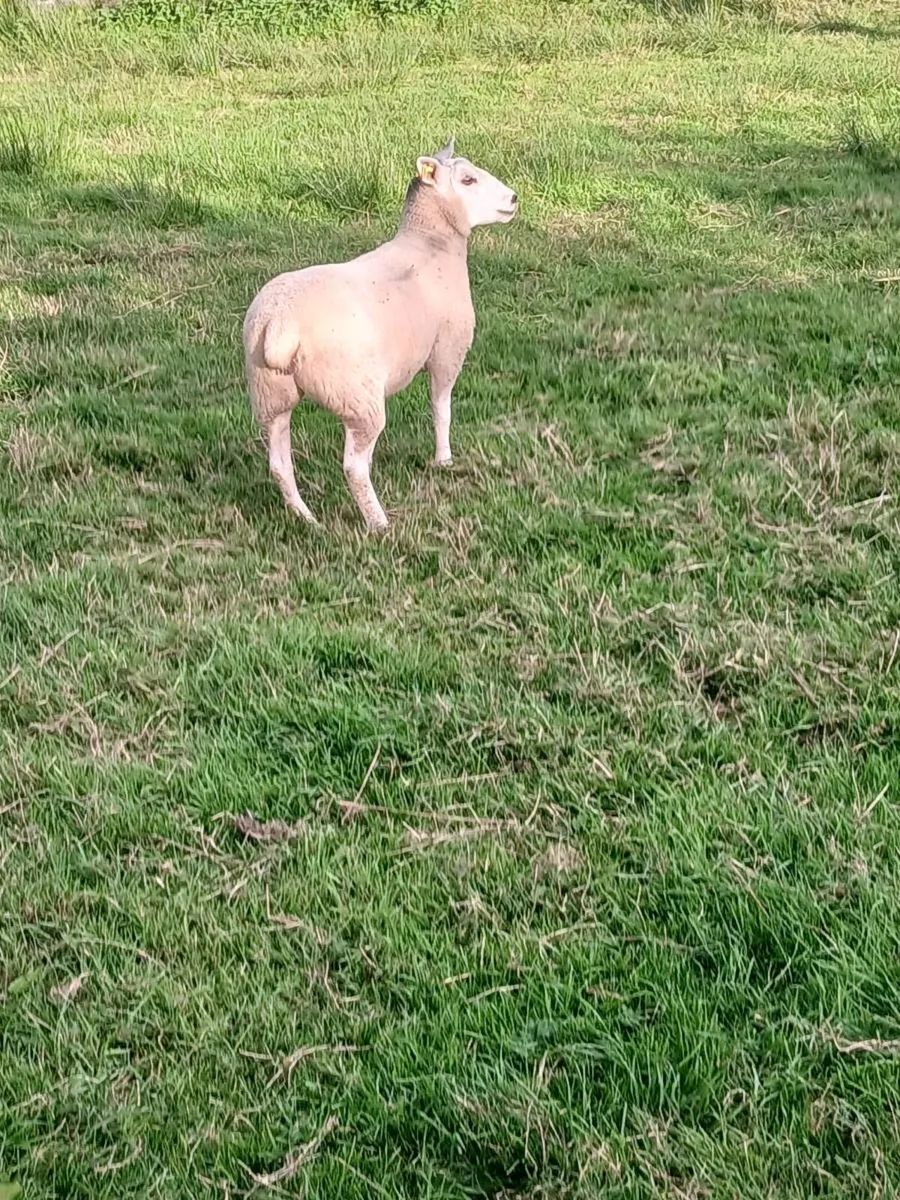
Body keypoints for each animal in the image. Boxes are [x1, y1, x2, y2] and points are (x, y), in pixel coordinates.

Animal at [242, 139, 518, 531]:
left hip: (271, 394)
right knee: (353, 465)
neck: (430, 242)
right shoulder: (448, 349)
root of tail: (281, 325)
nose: (513, 198)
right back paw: (378, 522)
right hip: (357, 396)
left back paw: (306, 517)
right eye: (467, 179)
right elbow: (441, 409)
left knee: (280, 463)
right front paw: (444, 459)